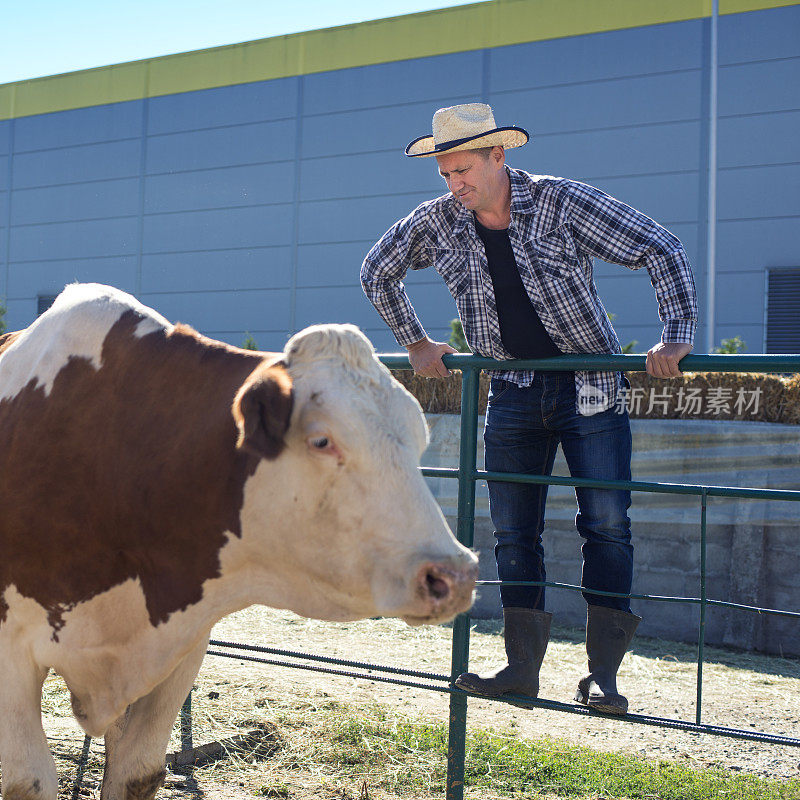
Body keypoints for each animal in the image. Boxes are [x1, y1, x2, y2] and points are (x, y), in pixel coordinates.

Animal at [0, 286, 476, 800]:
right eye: (322, 440)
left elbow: (137, 771)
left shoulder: (181, 647)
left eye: (417, 440)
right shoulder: (10, 652)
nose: (456, 574)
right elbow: (29, 781)